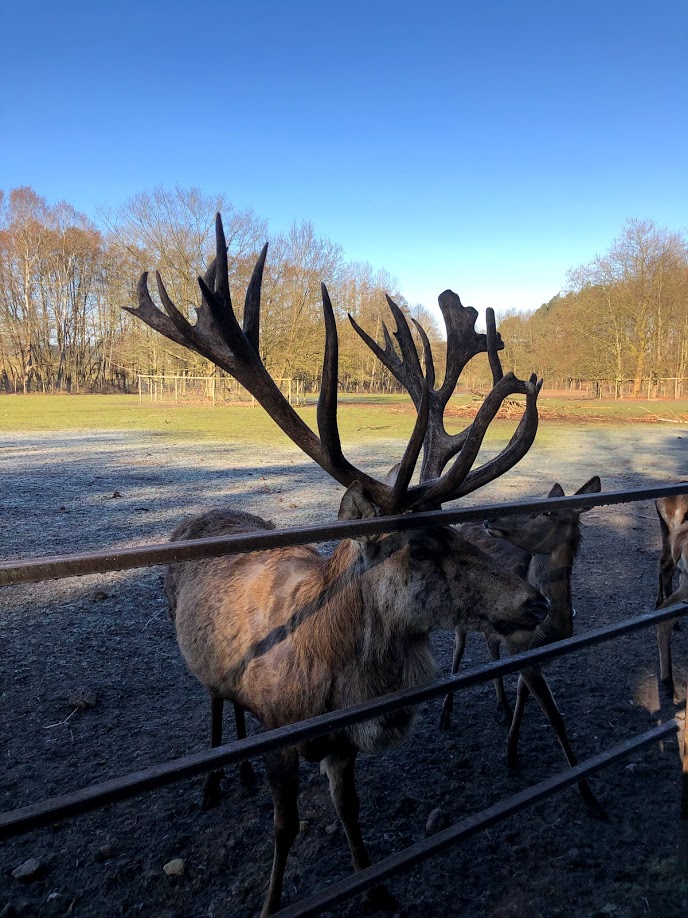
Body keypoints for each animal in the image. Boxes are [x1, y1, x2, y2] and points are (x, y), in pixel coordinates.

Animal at [127, 214, 549, 916]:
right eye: (419, 545)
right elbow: (284, 827)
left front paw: (377, 889)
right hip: (195, 654)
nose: (533, 601)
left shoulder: (343, 747)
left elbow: (351, 813)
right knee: (215, 703)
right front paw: (271, 902)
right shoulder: (280, 734)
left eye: (454, 528)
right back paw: (216, 780)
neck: (331, 687)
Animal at [349, 298, 603, 813]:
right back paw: (447, 710)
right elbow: (555, 716)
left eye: (546, 509)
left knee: (488, 646)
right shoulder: (525, 647)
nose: (494, 520)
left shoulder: (532, 653)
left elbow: (531, 698)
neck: (552, 629)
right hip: (464, 618)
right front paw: (586, 792)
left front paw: (513, 740)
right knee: (462, 648)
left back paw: (499, 702)